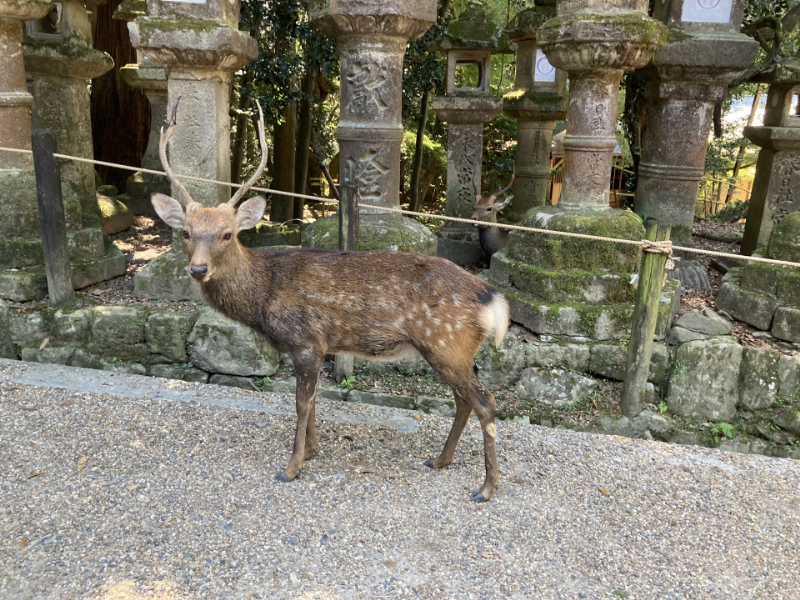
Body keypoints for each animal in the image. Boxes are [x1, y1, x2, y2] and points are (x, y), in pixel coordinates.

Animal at [152, 98, 506, 502]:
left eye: (227, 234)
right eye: (186, 232)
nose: (198, 269)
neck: (264, 296)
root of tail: (492, 297)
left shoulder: (306, 340)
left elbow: (301, 402)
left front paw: (291, 467)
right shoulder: (316, 345)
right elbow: (315, 398)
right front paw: (311, 450)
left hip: (446, 343)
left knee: (485, 401)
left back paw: (486, 487)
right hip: (450, 350)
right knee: (464, 400)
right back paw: (440, 460)